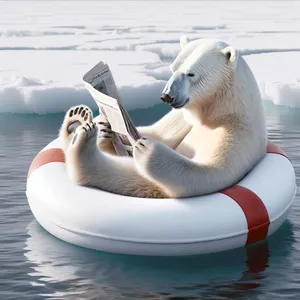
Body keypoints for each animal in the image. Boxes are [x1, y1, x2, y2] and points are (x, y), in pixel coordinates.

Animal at [58, 37, 268, 198]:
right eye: (173, 68)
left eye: (191, 73)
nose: (167, 96)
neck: (217, 112)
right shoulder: (182, 118)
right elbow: (160, 133)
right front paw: (105, 128)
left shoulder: (236, 132)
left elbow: (208, 173)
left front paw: (147, 149)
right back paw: (77, 121)